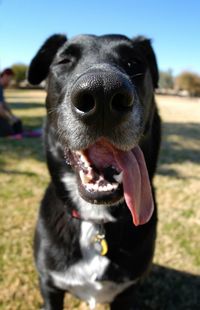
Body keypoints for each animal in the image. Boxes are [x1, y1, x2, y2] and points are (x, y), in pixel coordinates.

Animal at [28, 32, 162, 308]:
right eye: (64, 61)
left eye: (134, 62)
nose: (102, 92)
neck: (96, 220)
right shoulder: (49, 286)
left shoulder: (126, 293)